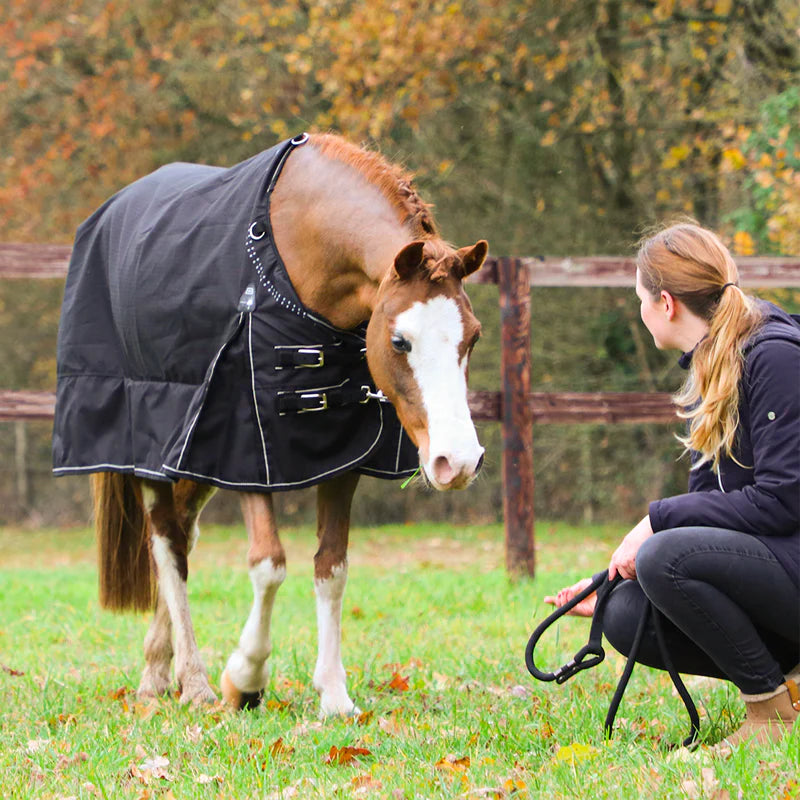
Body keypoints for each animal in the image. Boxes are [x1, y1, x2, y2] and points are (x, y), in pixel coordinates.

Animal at [53, 134, 488, 716]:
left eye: (473, 336)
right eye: (400, 341)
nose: (458, 462)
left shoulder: (340, 458)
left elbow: (332, 569)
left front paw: (334, 695)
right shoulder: (245, 450)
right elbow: (269, 564)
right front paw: (245, 677)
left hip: (191, 458)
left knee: (183, 537)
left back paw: (157, 672)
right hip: (149, 449)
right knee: (167, 544)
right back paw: (194, 682)